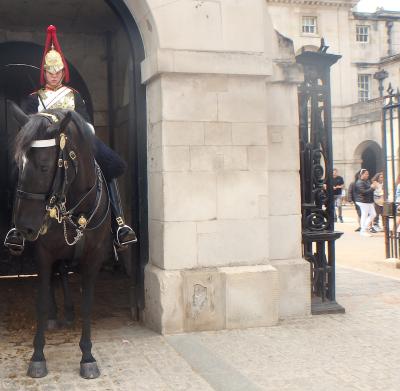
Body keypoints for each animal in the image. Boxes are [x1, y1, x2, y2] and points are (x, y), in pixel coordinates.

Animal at [10, 105, 111, 380]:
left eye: (45, 166)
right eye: (18, 164)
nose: (25, 228)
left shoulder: (94, 258)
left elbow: (87, 305)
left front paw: (87, 357)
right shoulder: (43, 254)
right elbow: (41, 303)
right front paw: (37, 357)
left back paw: (67, 311)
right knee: (58, 275)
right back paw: (58, 314)